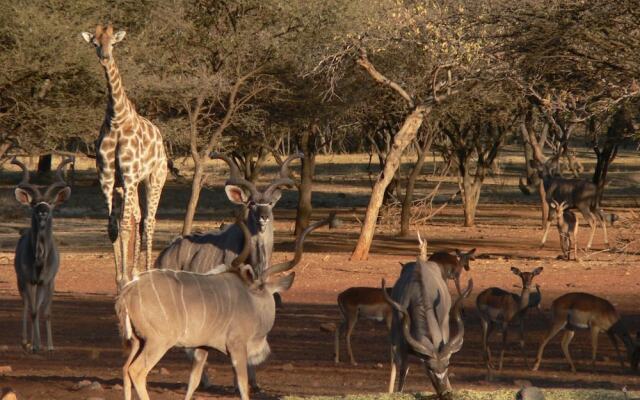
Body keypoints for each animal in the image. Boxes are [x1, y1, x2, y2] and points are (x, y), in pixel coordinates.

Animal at [11, 158, 73, 352]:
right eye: (33, 204)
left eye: (51, 203)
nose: (43, 211)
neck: (39, 258)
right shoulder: (28, 280)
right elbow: (32, 310)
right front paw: (34, 345)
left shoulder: (47, 281)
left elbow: (45, 312)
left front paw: (49, 346)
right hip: (22, 282)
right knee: (27, 307)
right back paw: (26, 342)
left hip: (41, 286)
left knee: (37, 308)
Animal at [81, 24, 168, 288]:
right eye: (95, 43)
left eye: (113, 43)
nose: (105, 57)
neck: (116, 118)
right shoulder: (108, 179)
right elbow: (113, 227)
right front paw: (121, 279)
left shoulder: (129, 176)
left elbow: (126, 226)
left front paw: (127, 279)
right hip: (128, 186)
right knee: (137, 218)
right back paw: (137, 271)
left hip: (154, 178)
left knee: (149, 221)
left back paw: (148, 272)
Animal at [116, 212, 336, 400]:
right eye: (260, 287)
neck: (251, 298)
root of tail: (128, 292)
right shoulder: (237, 347)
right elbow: (242, 385)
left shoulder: (202, 348)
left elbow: (193, 382)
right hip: (158, 342)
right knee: (136, 371)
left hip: (137, 341)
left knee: (125, 369)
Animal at [380, 231, 470, 396]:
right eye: (429, 368)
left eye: (447, 366)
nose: (444, 391)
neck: (419, 291)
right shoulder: (402, 336)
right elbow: (403, 367)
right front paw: (399, 392)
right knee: (394, 360)